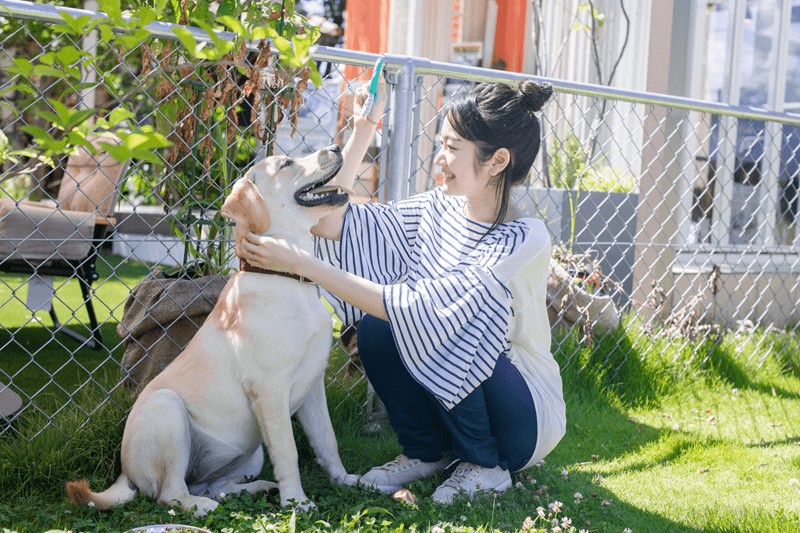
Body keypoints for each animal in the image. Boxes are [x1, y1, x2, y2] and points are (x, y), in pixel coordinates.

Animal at [65, 144, 360, 516]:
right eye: (287, 163)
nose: (335, 146)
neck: (287, 278)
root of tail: (124, 474)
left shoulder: (313, 386)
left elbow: (327, 441)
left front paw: (346, 479)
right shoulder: (270, 390)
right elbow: (289, 452)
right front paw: (296, 501)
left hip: (249, 453)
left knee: (216, 485)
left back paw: (256, 489)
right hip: (168, 409)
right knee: (170, 493)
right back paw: (205, 506)